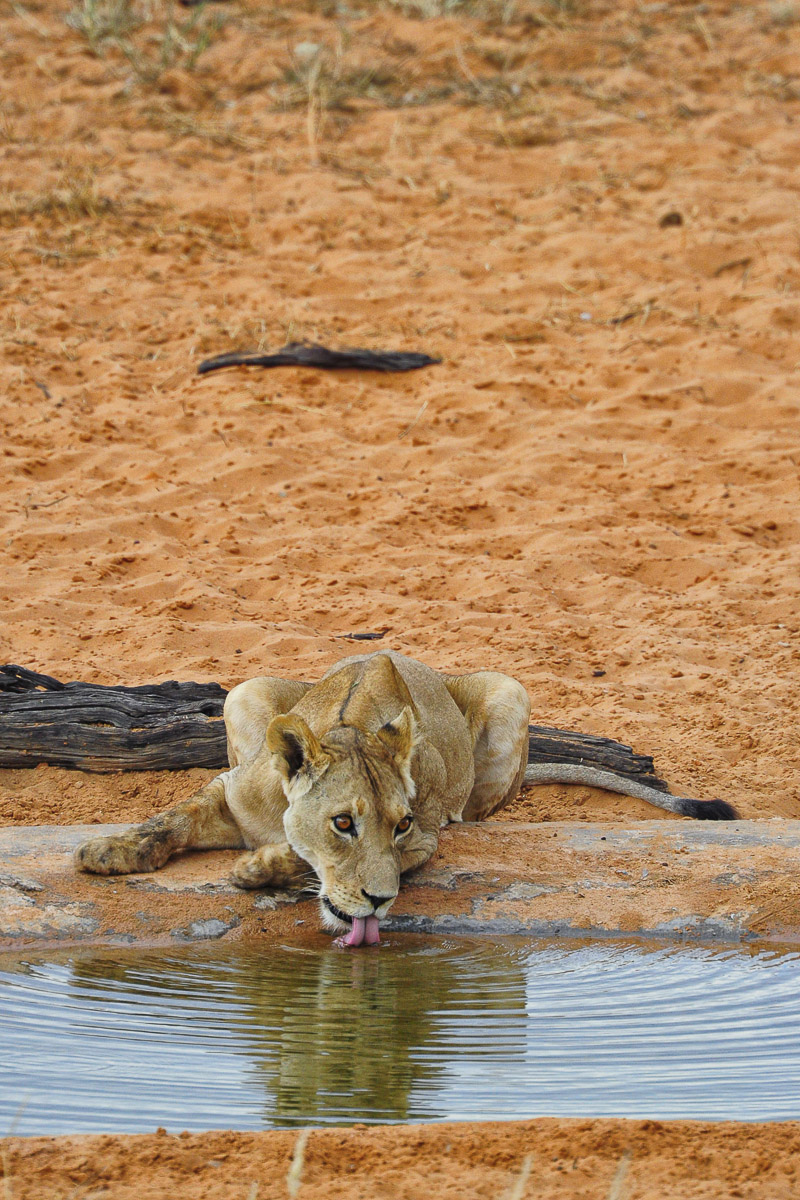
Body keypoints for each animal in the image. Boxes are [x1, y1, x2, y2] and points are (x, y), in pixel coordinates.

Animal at [75, 650, 737, 946]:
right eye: (343, 823)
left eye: (398, 827)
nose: (378, 902)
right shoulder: (231, 792)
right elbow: (171, 816)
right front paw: (107, 850)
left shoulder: (428, 836)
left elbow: (302, 858)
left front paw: (261, 866)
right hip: (244, 690)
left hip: (510, 693)